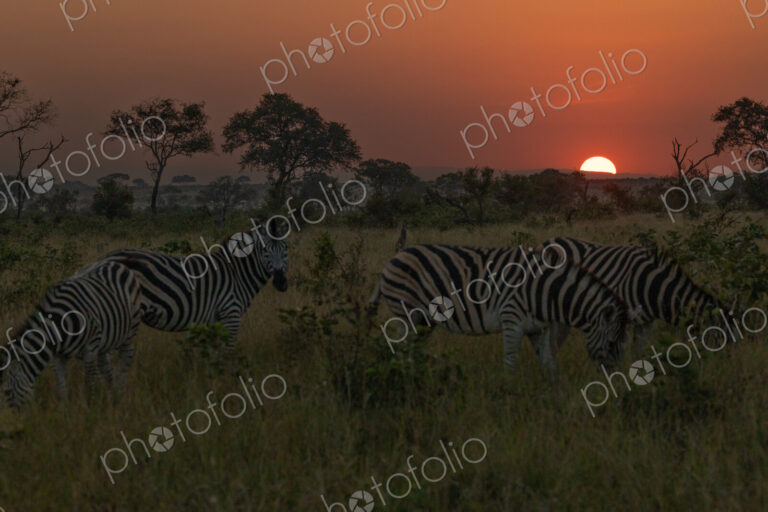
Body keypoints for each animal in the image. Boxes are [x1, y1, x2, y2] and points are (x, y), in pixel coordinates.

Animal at [0, 262, 142, 409]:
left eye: (7, 392)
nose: (11, 416)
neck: (57, 328)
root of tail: (116, 263)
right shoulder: (58, 356)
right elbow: (61, 385)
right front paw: (64, 408)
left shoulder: (91, 347)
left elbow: (89, 382)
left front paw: (89, 407)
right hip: (105, 343)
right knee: (106, 367)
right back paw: (112, 393)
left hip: (130, 330)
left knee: (125, 360)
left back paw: (119, 394)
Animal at [76, 231, 289, 350]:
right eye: (265, 251)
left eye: (287, 250)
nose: (281, 282)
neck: (237, 274)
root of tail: (101, 259)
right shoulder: (231, 313)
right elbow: (228, 352)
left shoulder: (211, 320)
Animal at [370, 244, 636, 374]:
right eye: (612, 343)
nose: (615, 378)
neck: (546, 293)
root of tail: (396, 256)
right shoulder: (512, 320)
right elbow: (511, 363)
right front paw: (508, 396)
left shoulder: (539, 328)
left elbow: (549, 365)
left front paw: (554, 399)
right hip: (408, 313)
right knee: (404, 353)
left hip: (424, 320)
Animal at [532, 237, 727, 360]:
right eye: (719, 340)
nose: (722, 369)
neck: (653, 286)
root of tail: (549, 240)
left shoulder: (646, 322)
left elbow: (640, 352)